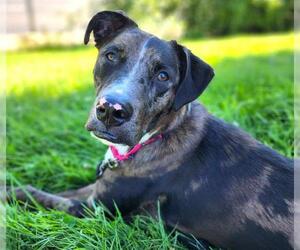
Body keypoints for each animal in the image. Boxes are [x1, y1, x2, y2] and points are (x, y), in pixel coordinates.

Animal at [11, 10, 292, 250]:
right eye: (111, 56)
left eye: (163, 76)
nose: (111, 110)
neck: (156, 136)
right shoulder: (96, 191)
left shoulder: (95, 209)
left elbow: (37, 194)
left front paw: (9, 194)